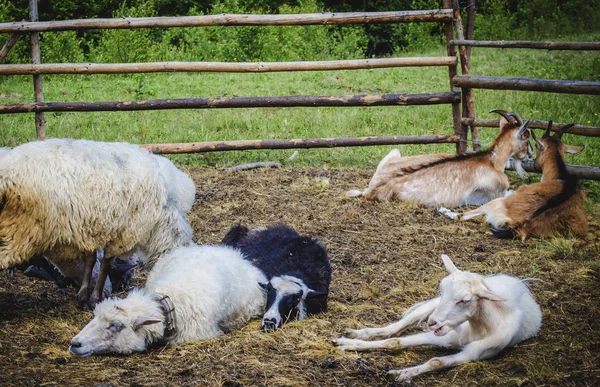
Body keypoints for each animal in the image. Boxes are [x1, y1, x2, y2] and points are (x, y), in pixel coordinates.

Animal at [0, 139, 192, 306]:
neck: (159, 221)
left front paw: (83, 294)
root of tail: (6, 174)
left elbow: (91, 260)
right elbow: (106, 264)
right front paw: (95, 297)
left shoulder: (90, 227)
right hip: (19, 229)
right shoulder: (121, 235)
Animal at [336, 256, 540, 384]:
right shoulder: (446, 335)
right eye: (442, 290)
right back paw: (361, 332)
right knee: (398, 326)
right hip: (429, 307)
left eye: (465, 300)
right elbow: (395, 341)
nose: (432, 322)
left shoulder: (474, 353)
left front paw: (403, 373)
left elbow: (436, 362)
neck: (478, 329)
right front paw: (349, 344)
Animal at [344, 110, 532, 208]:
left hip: (394, 153)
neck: (491, 161)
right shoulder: (496, 192)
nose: (530, 154)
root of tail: (372, 191)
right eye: (527, 136)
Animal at [454, 123, 584, 241]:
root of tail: (523, 226)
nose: (534, 163)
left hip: (497, 202)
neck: (562, 177)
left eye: (536, 146)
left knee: (462, 216)